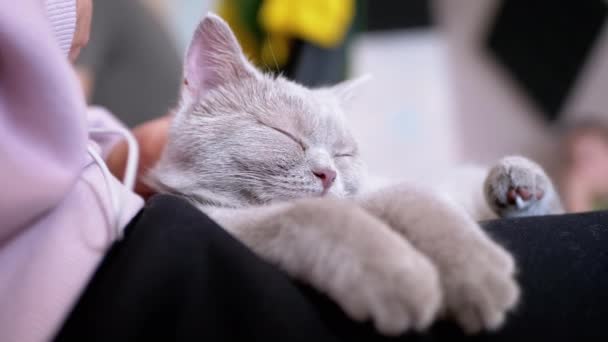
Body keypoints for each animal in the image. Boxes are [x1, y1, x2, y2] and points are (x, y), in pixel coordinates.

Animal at [145, 14, 564, 336]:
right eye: (285, 135)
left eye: (342, 154)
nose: (327, 173)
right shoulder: (223, 220)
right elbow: (317, 216)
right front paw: (400, 277)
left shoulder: (387, 190)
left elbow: (417, 198)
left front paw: (476, 272)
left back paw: (516, 181)